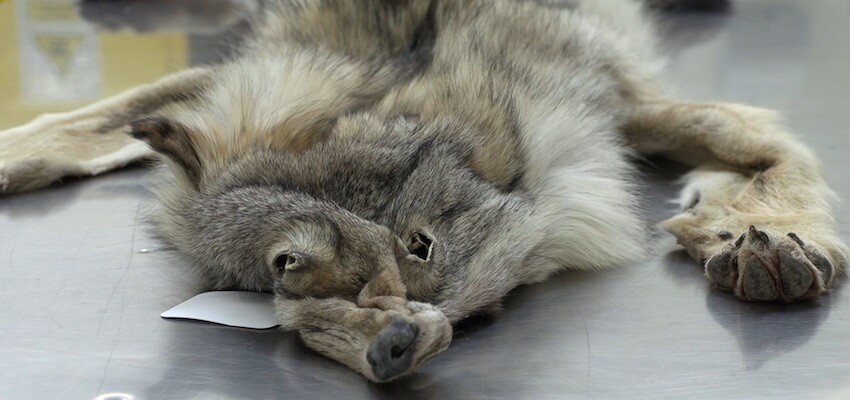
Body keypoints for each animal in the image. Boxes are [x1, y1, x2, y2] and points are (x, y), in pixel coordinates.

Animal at [0, 0, 846, 382]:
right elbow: (94, 115)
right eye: (284, 275)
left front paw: (774, 237)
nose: (392, 335)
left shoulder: (620, 98)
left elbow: (761, 143)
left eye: (419, 246)